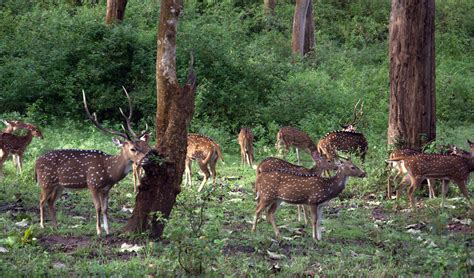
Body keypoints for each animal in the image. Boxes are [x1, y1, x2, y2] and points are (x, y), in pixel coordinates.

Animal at [35, 88, 150, 235]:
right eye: (133, 148)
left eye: (142, 146)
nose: (146, 158)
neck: (109, 172)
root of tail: (36, 161)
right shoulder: (93, 184)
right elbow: (98, 208)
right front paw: (99, 231)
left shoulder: (106, 189)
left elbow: (105, 208)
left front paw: (108, 230)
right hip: (46, 181)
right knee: (41, 200)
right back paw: (42, 225)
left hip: (59, 185)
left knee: (50, 201)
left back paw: (56, 226)